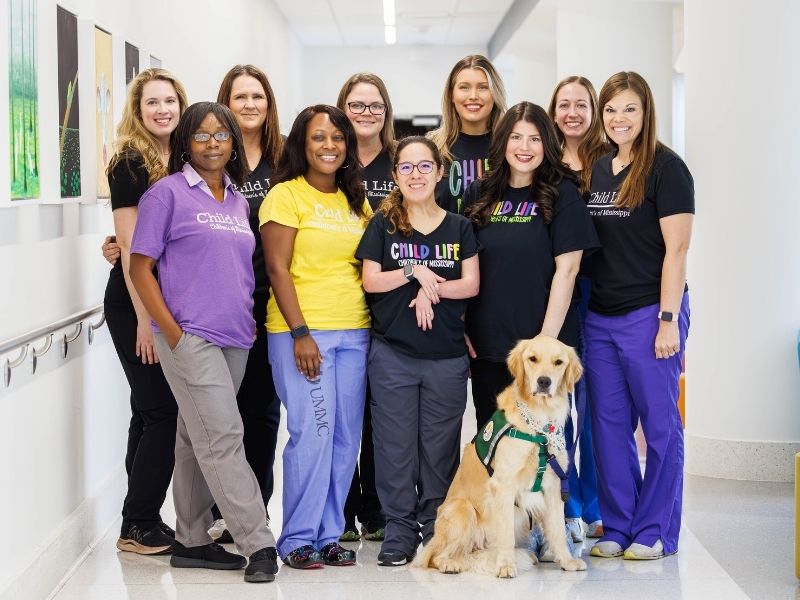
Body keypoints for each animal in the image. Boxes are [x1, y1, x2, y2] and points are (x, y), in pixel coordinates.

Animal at [416, 338, 584, 576]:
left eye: (558, 362)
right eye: (532, 359)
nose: (544, 381)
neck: (538, 424)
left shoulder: (554, 484)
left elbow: (558, 530)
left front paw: (567, 561)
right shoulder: (504, 484)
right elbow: (505, 533)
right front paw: (505, 565)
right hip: (462, 509)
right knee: (435, 557)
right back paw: (451, 564)